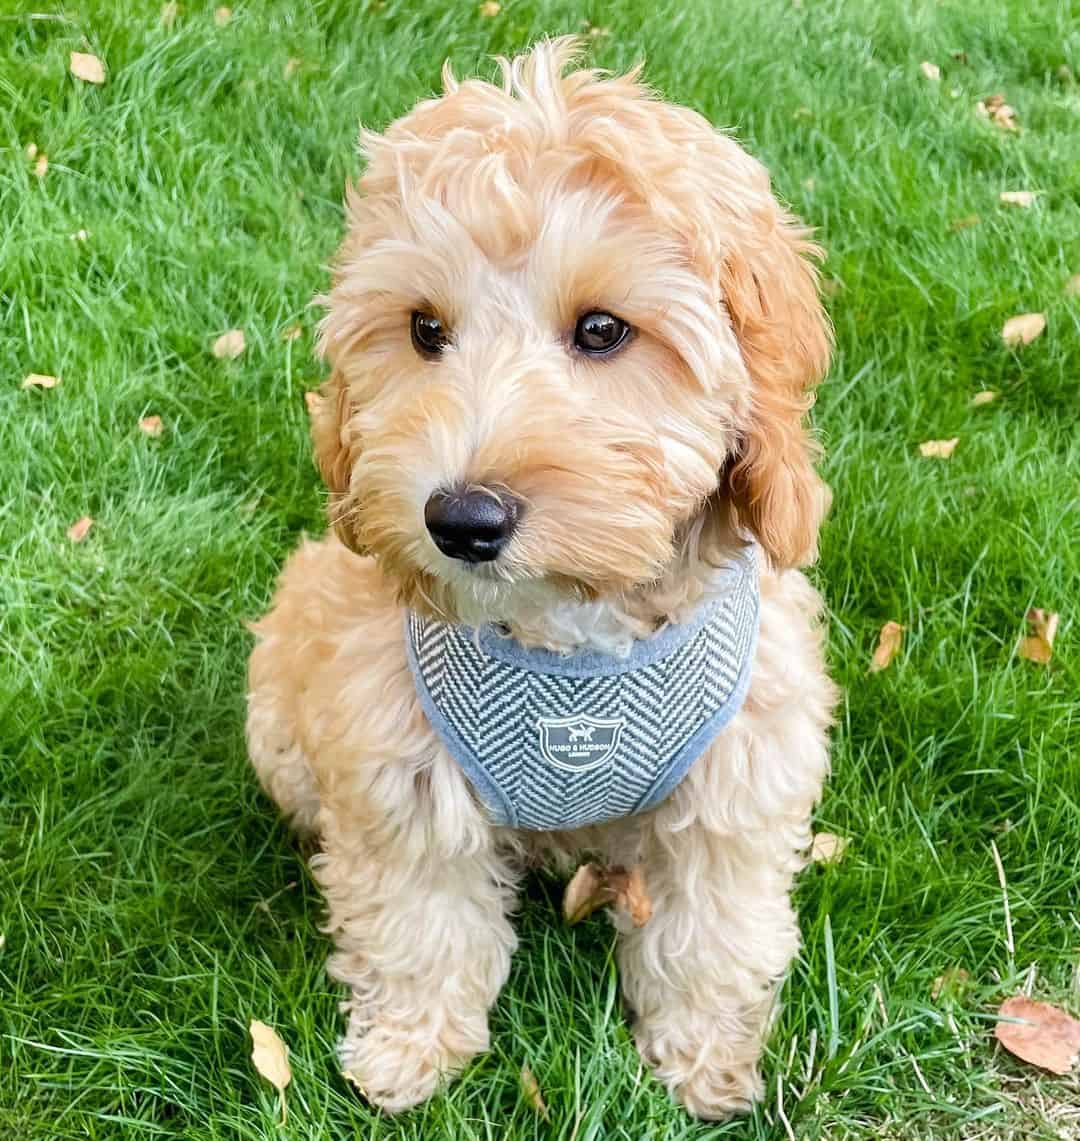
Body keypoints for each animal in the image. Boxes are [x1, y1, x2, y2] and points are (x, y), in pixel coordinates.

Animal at [248, 37, 839, 1122]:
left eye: (603, 330)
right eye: (424, 329)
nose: (460, 520)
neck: (572, 640)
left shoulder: (740, 771)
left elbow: (714, 928)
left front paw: (704, 1059)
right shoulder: (398, 765)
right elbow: (421, 920)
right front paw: (409, 1050)